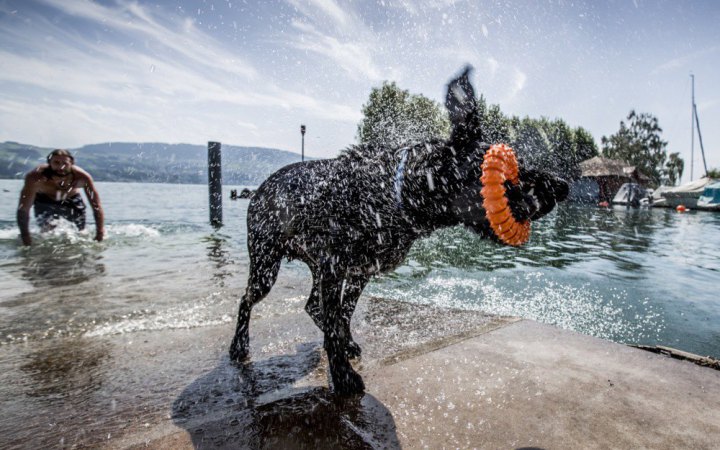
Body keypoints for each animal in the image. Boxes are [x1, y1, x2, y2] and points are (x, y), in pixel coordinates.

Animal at [231, 67, 568, 394]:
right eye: (511, 167)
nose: (562, 186)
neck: (394, 192)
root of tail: (259, 188)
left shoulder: (358, 272)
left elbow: (341, 317)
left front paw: (343, 350)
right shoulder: (335, 268)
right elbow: (335, 324)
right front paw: (343, 377)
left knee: (313, 305)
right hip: (265, 266)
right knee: (247, 300)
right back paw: (239, 345)